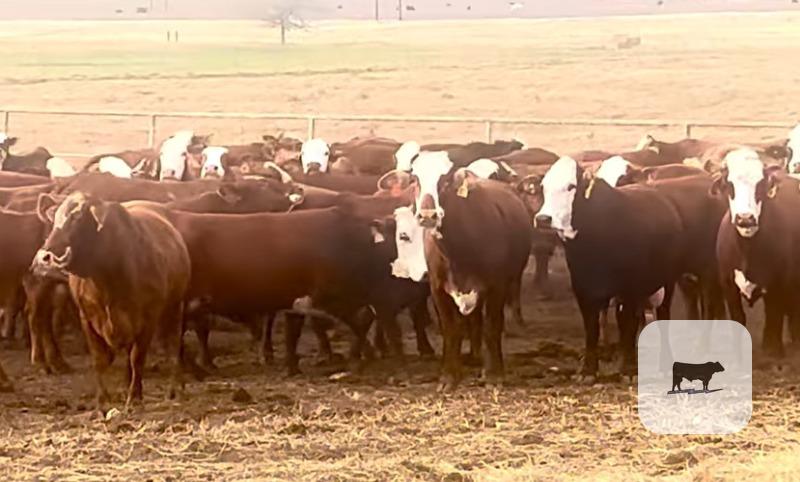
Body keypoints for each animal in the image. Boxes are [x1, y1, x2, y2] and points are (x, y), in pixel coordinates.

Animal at [33, 193, 191, 407]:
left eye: (77, 217)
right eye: (54, 218)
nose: (44, 259)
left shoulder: (149, 318)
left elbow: (137, 358)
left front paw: (135, 397)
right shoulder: (87, 318)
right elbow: (100, 359)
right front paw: (103, 398)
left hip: (175, 307)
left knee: (174, 345)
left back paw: (175, 389)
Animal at [408, 151, 531, 389]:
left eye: (445, 179)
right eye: (416, 178)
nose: (427, 215)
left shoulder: (497, 287)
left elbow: (492, 326)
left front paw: (494, 375)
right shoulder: (437, 289)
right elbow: (451, 330)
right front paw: (449, 376)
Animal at [533, 156, 687, 381]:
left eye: (571, 186)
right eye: (544, 186)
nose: (543, 219)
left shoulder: (629, 290)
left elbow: (627, 326)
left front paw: (628, 370)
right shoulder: (584, 290)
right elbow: (592, 327)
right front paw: (588, 370)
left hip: (665, 284)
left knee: (660, 318)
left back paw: (663, 364)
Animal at [712, 148, 800, 357]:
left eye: (760, 184)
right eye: (729, 184)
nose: (745, 219)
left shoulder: (777, 286)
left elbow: (774, 319)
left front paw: (773, 351)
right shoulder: (728, 285)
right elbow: (738, 317)